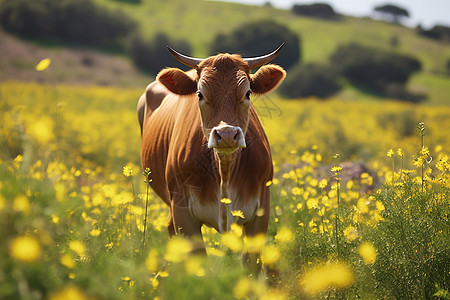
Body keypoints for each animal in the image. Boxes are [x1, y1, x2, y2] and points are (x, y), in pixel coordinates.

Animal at [138, 45, 284, 272]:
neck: (224, 170)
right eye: (199, 94)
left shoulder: (261, 210)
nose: (226, 134)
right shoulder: (183, 213)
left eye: (248, 93)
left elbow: (251, 264)